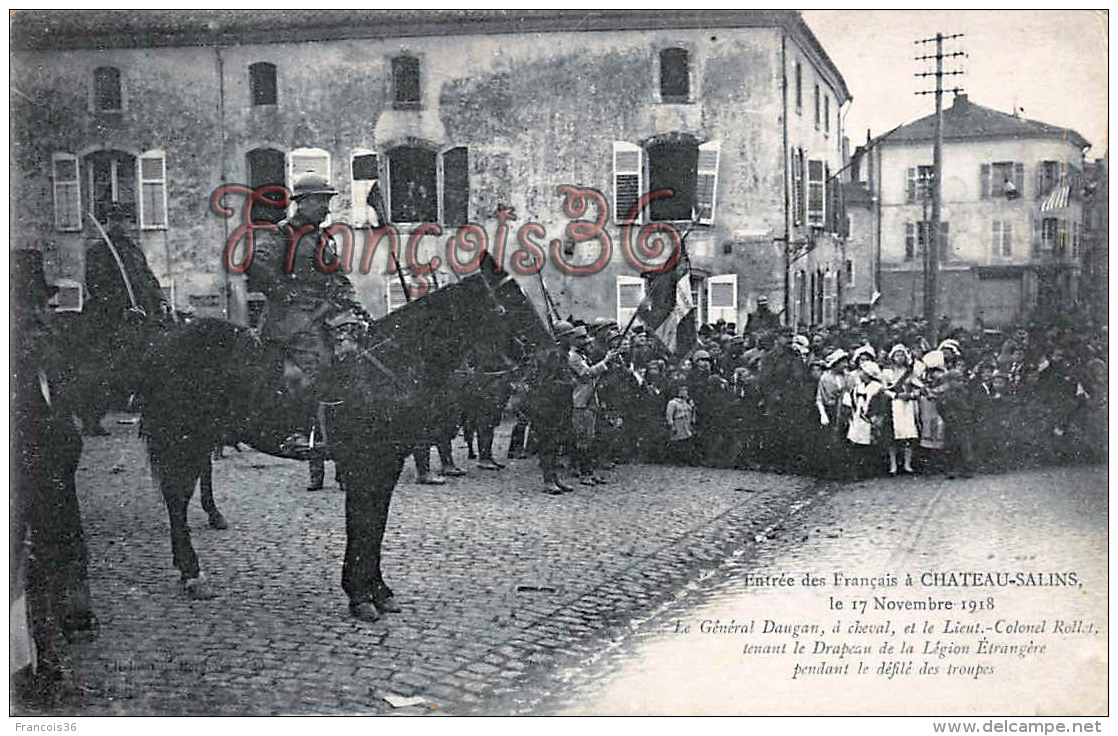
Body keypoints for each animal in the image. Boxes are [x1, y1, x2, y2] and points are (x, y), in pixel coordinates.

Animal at [137, 255, 552, 617]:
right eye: (512, 296)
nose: (548, 349)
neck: (392, 364)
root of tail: (167, 343)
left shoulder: (386, 463)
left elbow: (376, 525)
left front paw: (378, 591)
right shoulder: (363, 462)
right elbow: (362, 523)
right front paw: (360, 596)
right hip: (183, 440)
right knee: (176, 500)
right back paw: (193, 574)